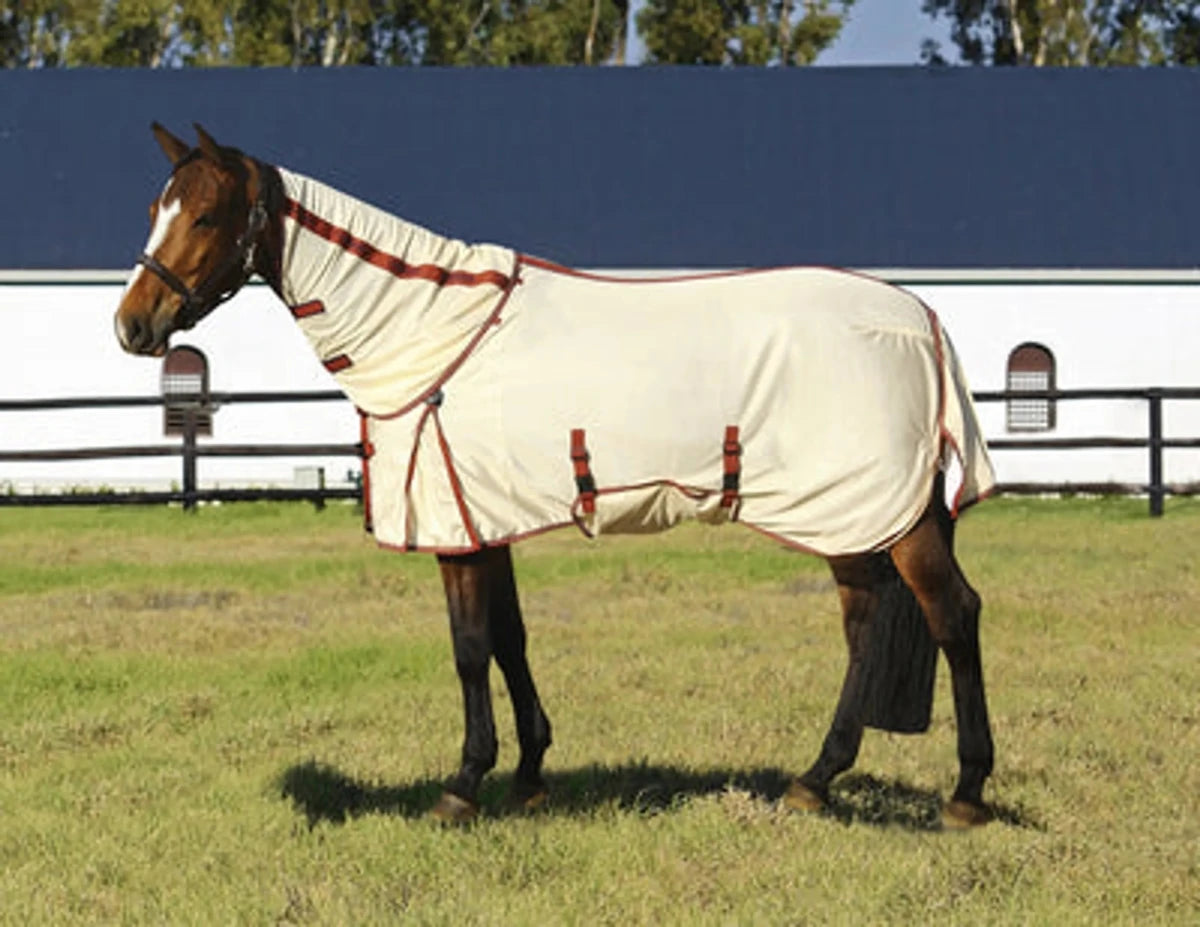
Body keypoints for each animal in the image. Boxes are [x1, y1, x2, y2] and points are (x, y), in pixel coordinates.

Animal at [115, 123, 997, 829]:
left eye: (205, 214)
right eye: (156, 207)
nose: (133, 325)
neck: (429, 330)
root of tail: (920, 317)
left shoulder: (458, 528)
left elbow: (471, 647)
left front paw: (464, 784)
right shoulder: (486, 513)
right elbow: (511, 638)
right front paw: (531, 773)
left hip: (885, 513)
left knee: (952, 614)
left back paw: (965, 793)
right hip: (853, 516)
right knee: (865, 627)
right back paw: (815, 780)